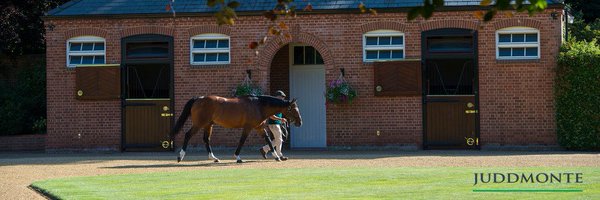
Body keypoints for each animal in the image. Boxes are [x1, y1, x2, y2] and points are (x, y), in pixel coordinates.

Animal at [170, 95, 302, 162]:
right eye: (293, 109)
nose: (300, 122)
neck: (259, 105)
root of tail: (198, 99)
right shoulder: (248, 127)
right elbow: (242, 141)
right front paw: (237, 157)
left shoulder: (259, 127)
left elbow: (268, 140)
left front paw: (277, 156)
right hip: (199, 124)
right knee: (188, 135)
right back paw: (180, 157)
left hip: (208, 125)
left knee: (206, 139)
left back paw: (214, 158)